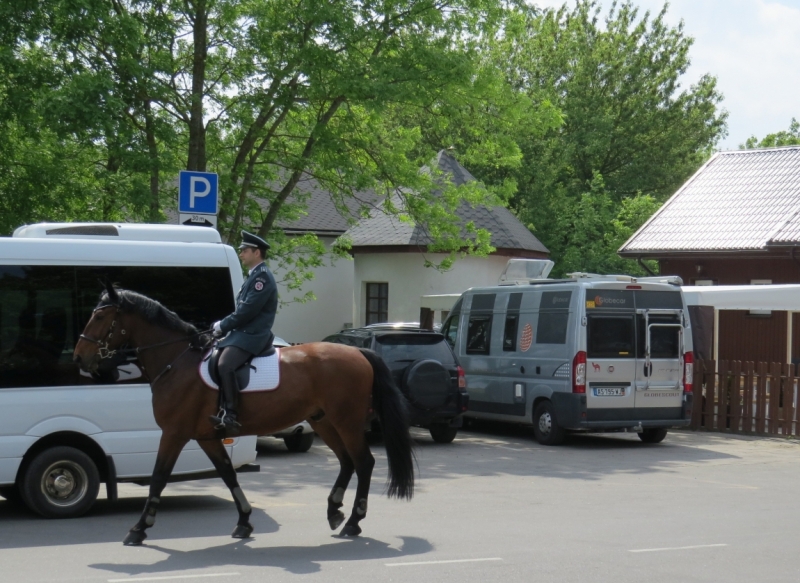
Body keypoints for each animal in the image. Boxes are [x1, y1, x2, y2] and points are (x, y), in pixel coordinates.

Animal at [72, 284, 416, 548]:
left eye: (99, 316)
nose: (79, 358)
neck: (177, 362)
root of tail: (358, 352)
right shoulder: (206, 437)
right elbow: (228, 474)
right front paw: (244, 521)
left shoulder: (174, 433)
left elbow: (158, 477)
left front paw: (139, 529)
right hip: (324, 421)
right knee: (347, 462)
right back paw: (334, 512)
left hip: (346, 421)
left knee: (364, 462)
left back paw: (354, 522)